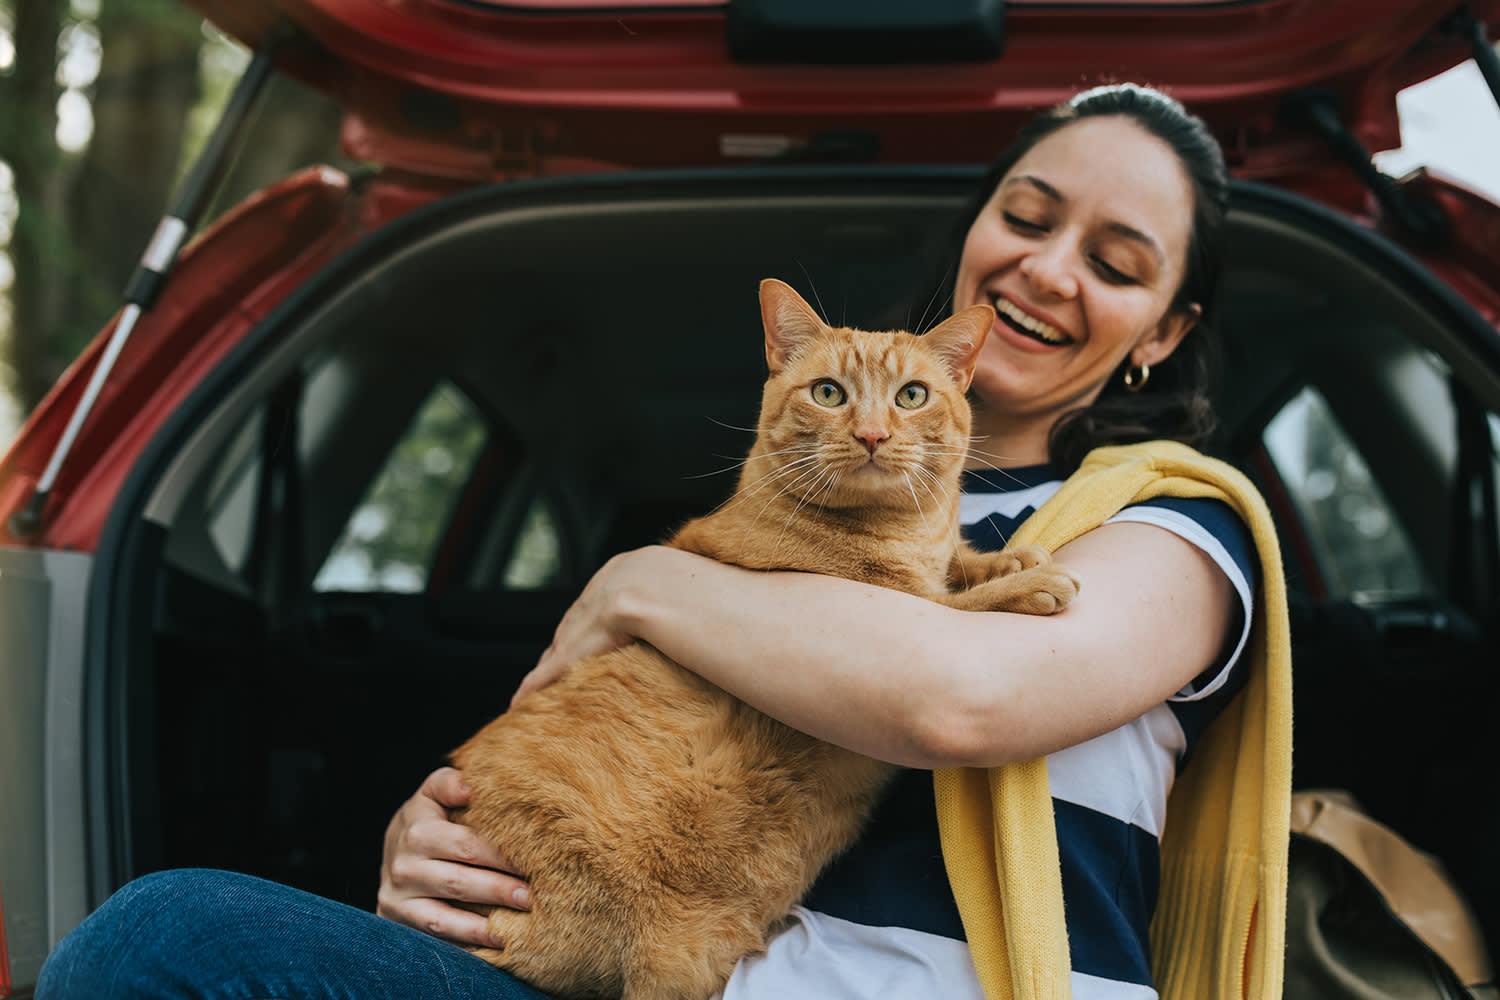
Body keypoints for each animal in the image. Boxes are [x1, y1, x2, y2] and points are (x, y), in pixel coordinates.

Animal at [450, 277, 1086, 995]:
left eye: (912, 396)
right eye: (829, 393)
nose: (872, 434)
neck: (904, 532)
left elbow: (960, 563)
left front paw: (1005, 557)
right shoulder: (877, 606)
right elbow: (956, 605)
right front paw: (1026, 582)